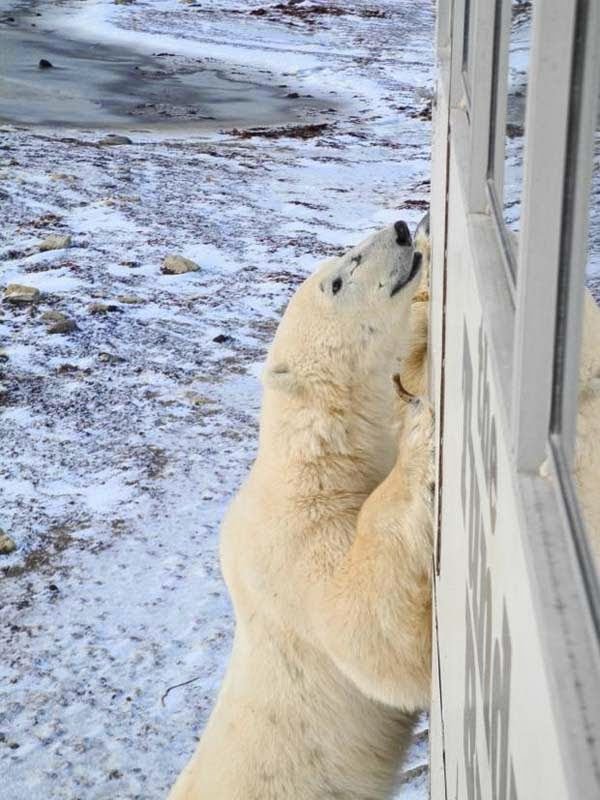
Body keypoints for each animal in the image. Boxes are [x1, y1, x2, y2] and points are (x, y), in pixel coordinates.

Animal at [168, 220, 436, 800]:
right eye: (337, 279)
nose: (403, 230)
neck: (314, 460)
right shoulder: (292, 543)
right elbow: (365, 635)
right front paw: (420, 437)